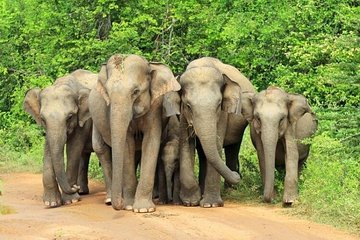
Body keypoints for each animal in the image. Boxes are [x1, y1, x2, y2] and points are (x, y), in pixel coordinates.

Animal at [23, 69, 97, 206]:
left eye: (70, 117)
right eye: (42, 119)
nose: (74, 187)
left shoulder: (83, 120)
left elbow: (74, 148)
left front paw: (71, 200)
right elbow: (48, 149)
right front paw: (51, 203)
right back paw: (82, 191)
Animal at [88, 54, 181, 212]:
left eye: (135, 92)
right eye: (108, 93)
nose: (120, 205)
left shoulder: (155, 106)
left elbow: (151, 141)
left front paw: (144, 209)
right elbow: (127, 144)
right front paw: (129, 206)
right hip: (95, 121)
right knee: (102, 149)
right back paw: (110, 199)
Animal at [179, 57, 255, 207]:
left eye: (219, 104)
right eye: (188, 106)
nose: (237, 176)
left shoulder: (223, 114)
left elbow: (217, 144)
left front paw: (211, 204)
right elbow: (186, 144)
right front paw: (190, 202)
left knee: (233, 148)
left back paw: (230, 190)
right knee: (204, 154)